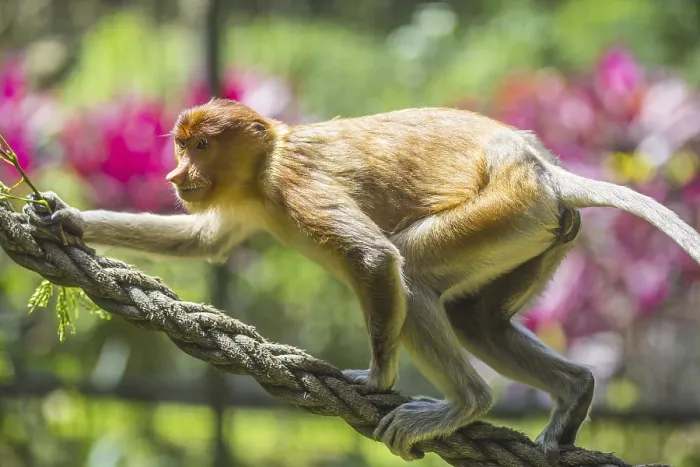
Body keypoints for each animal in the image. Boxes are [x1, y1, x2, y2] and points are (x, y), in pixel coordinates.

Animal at [24, 98, 700, 462]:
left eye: (201, 146)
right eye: (180, 145)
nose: (175, 177)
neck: (269, 160)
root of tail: (549, 173)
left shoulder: (295, 186)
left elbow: (375, 257)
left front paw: (374, 379)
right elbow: (205, 240)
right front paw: (63, 217)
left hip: (510, 210)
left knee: (415, 271)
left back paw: (466, 403)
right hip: (539, 231)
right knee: (475, 319)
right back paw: (573, 392)